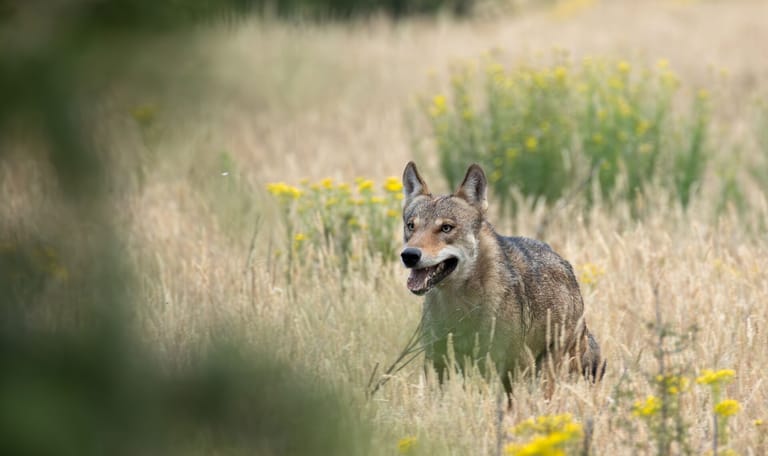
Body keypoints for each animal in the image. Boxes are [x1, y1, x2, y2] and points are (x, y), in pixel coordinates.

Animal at [400, 162, 604, 395]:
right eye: (411, 226)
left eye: (446, 228)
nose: (409, 255)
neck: (458, 306)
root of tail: (567, 266)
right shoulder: (437, 363)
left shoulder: (513, 366)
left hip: (545, 371)